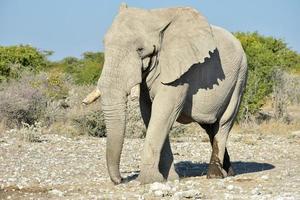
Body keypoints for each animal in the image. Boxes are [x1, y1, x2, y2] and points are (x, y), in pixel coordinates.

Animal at [83, 3, 247, 184]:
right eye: (104, 44)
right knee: (210, 127)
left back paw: (215, 175)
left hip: (239, 78)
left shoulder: (181, 72)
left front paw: (149, 180)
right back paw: (229, 172)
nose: (121, 179)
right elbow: (149, 112)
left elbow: (163, 111)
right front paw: (169, 179)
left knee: (224, 122)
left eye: (140, 49)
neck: (155, 17)